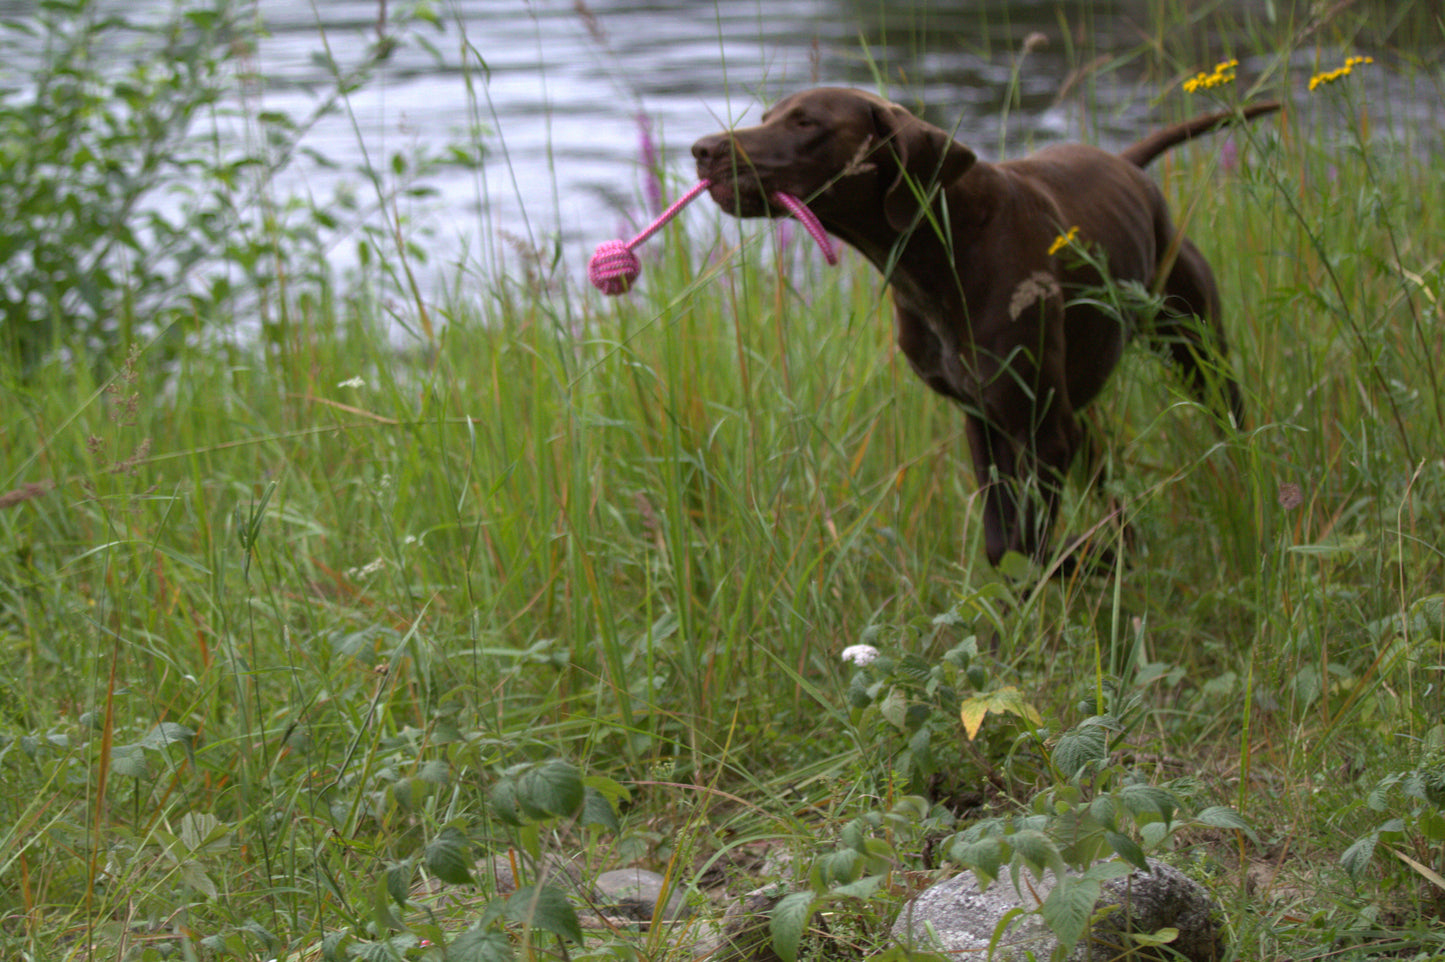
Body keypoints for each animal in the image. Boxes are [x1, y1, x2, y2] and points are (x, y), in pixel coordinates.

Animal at [693, 88, 1283, 569]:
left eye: (806, 122)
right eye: (767, 117)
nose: (702, 150)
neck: (943, 248)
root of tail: (1127, 164)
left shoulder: (1041, 432)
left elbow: (1029, 544)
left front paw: (1084, 566)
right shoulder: (986, 420)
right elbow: (1007, 544)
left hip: (1196, 353)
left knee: (1230, 426)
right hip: (1080, 415)